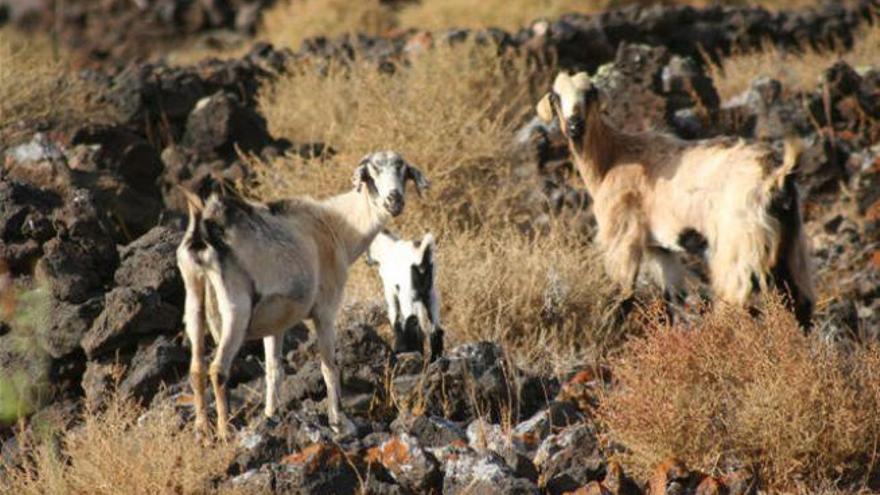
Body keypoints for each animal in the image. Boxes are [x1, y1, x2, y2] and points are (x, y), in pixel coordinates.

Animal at [536, 70, 820, 326]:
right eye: (556, 97)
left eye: (590, 93)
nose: (575, 126)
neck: (612, 159)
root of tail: (777, 175)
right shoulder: (661, 249)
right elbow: (669, 302)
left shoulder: (622, 238)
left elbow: (621, 299)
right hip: (790, 244)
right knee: (801, 305)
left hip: (738, 248)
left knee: (735, 309)